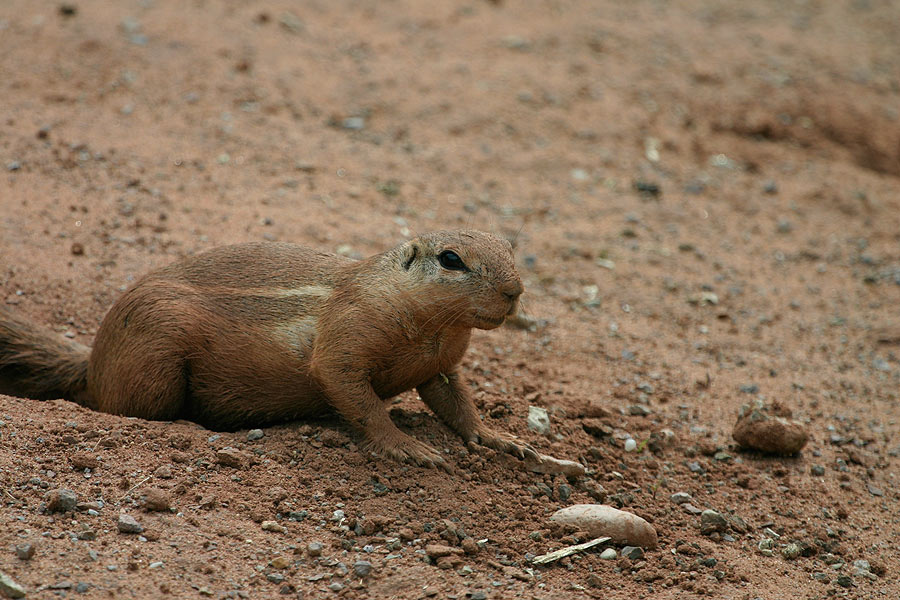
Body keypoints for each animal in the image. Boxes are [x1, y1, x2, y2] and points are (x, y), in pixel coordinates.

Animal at [0, 230, 536, 468]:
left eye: (512, 246)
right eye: (451, 259)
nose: (515, 291)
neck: (433, 328)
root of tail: (92, 361)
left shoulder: (441, 366)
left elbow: (458, 403)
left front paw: (501, 439)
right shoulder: (345, 338)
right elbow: (358, 399)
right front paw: (410, 447)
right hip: (154, 365)